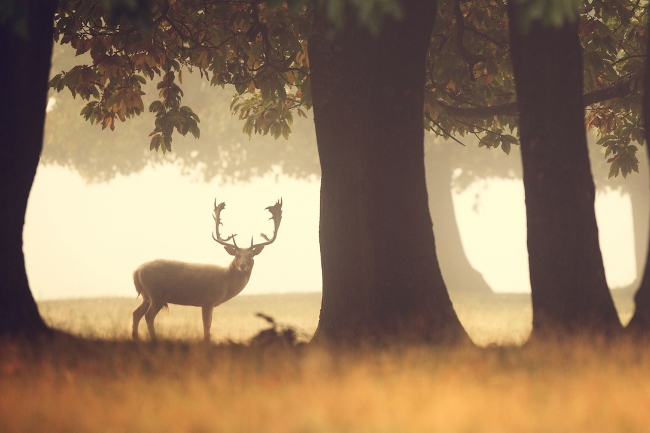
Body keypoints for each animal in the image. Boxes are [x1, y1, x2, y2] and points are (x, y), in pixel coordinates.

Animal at [132, 199, 282, 341]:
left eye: (251, 255)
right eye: (236, 255)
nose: (243, 265)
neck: (226, 281)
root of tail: (136, 271)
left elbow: (208, 325)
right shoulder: (208, 300)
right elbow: (206, 326)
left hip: (146, 295)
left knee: (136, 313)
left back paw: (135, 338)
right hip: (157, 294)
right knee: (148, 316)